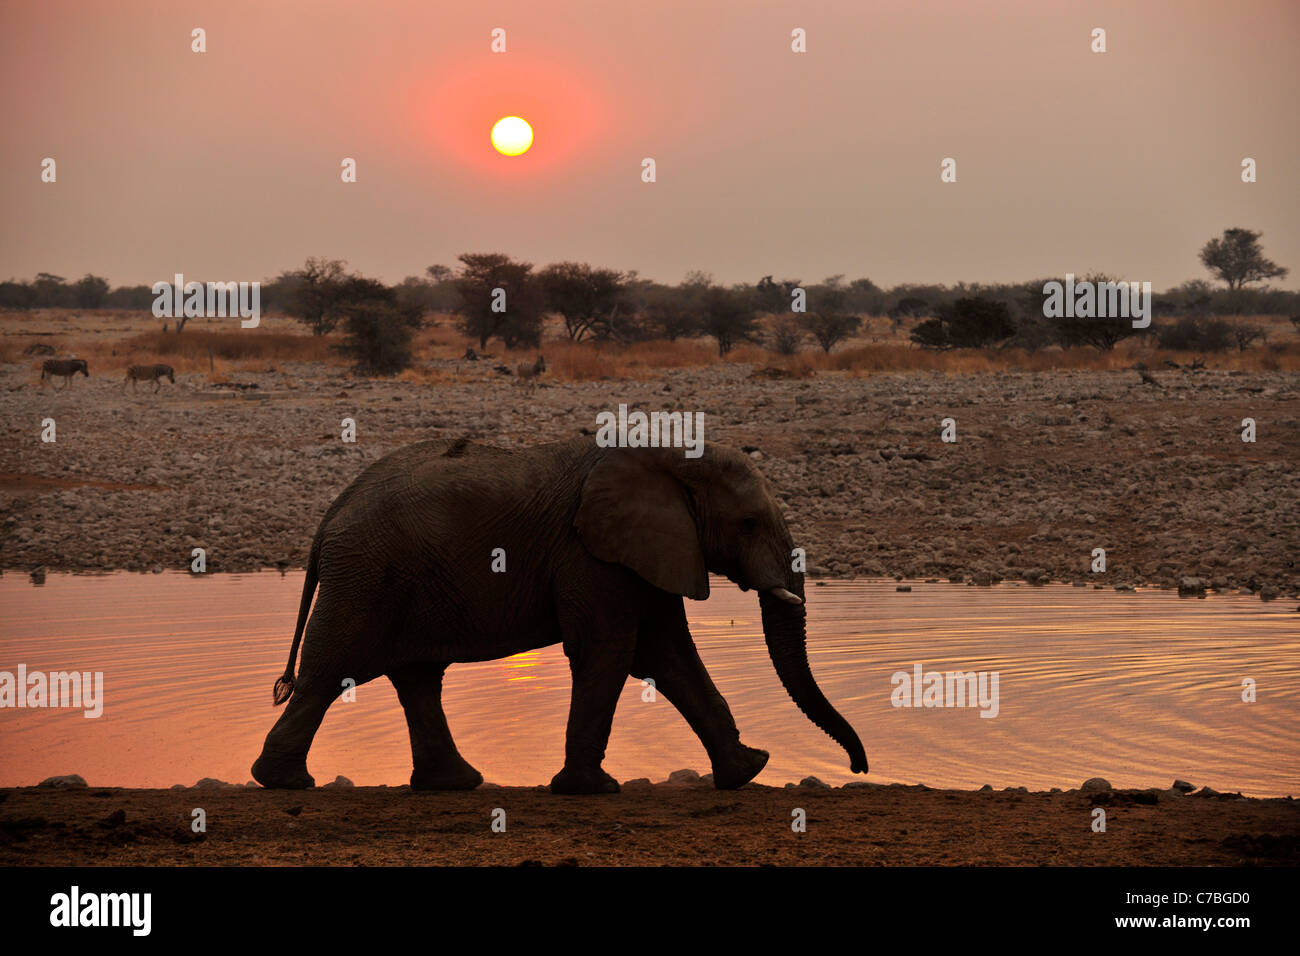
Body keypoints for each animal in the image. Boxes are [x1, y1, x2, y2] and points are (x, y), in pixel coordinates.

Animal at [251, 435, 868, 794]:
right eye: (747, 524)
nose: (860, 766)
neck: (665, 452)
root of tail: (332, 513)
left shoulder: (646, 549)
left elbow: (667, 655)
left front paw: (748, 771)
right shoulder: (591, 554)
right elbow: (612, 652)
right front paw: (590, 789)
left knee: (417, 679)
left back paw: (453, 784)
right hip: (365, 575)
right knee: (331, 672)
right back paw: (283, 782)